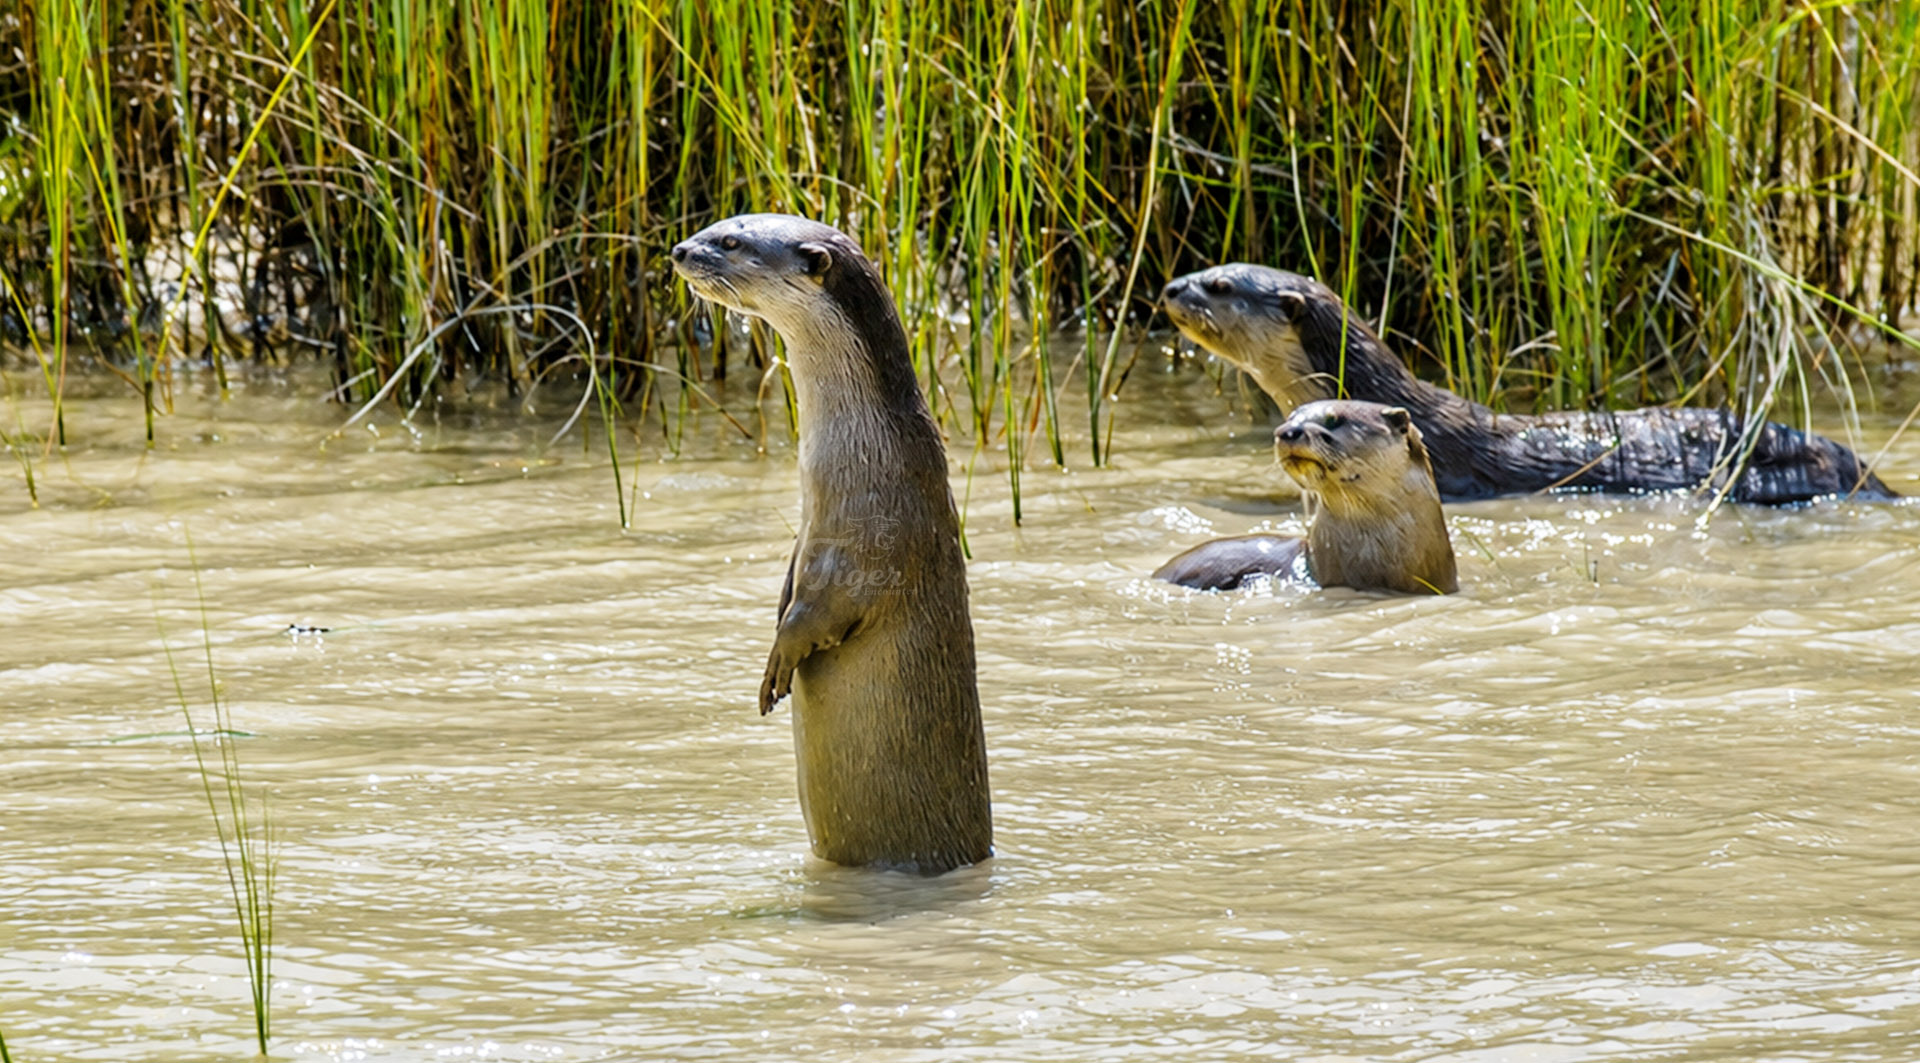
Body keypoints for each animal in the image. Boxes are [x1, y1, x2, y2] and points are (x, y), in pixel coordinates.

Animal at [670, 214, 991, 873]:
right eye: (716, 225)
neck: (869, 453)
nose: (679, 250)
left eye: (732, 242)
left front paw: (775, 670)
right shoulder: (807, 537)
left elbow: (818, 614)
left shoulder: (869, 544)